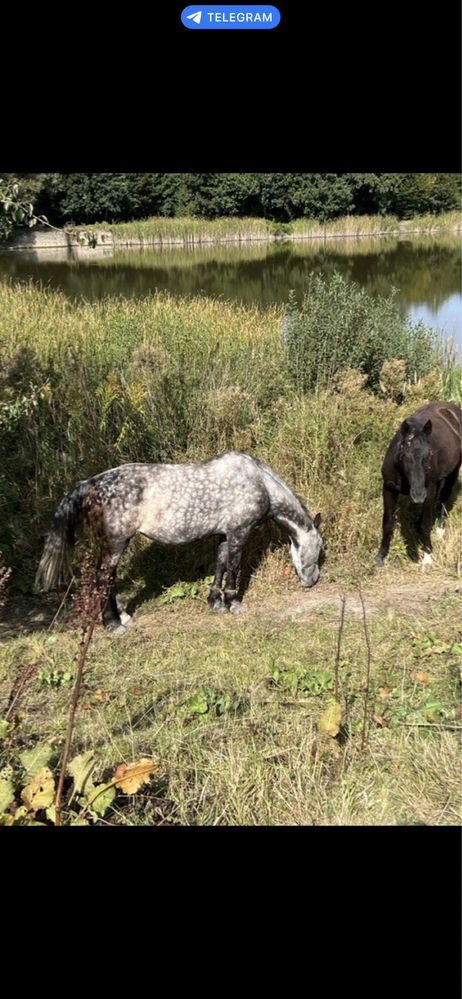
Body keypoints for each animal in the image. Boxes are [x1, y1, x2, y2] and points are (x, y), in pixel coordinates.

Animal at [36, 454, 322, 632]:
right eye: (319, 549)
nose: (313, 581)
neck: (260, 482)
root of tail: (88, 484)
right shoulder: (239, 533)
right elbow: (233, 567)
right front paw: (234, 603)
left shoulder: (223, 534)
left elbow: (219, 565)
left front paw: (215, 603)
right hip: (116, 543)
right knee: (103, 577)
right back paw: (113, 624)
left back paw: (123, 617)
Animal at [378, 400, 460, 572]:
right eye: (404, 455)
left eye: (429, 454)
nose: (418, 494)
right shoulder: (388, 489)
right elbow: (387, 523)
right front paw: (381, 556)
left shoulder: (429, 489)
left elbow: (426, 524)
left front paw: (427, 557)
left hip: (452, 474)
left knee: (443, 499)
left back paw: (440, 531)